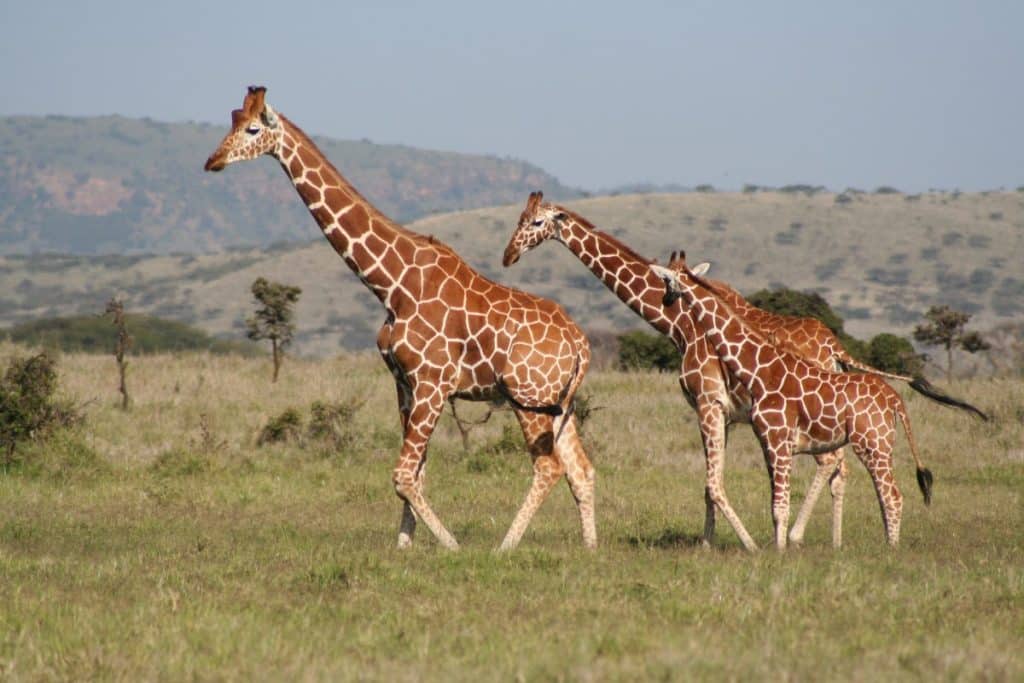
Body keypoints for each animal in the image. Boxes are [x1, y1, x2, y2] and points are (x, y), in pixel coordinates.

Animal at [205, 87, 596, 551]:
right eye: (231, 119)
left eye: (252, 129)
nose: (213, 161)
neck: (393, 285)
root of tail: (581, 342)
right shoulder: (404, 383)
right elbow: (418, 473)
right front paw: (404, 547)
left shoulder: (433, 383)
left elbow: (403, 476)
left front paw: (449, 546)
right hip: (559, 401)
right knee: (580, 468)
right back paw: (590, 548)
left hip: (528, 396)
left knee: (549, 466)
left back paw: (503, 549)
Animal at [651, 251, 939, 548]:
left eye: (667, 280)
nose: (666, 301)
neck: (758, 370)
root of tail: (895, 399)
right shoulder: (772, 442)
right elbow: (775, 504)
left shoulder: (778, 440)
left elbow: (780, 506)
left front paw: (780, 551)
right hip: (878, 445)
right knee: (885, 495)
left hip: (873, 444)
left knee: (892, 496)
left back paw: (890, 549)